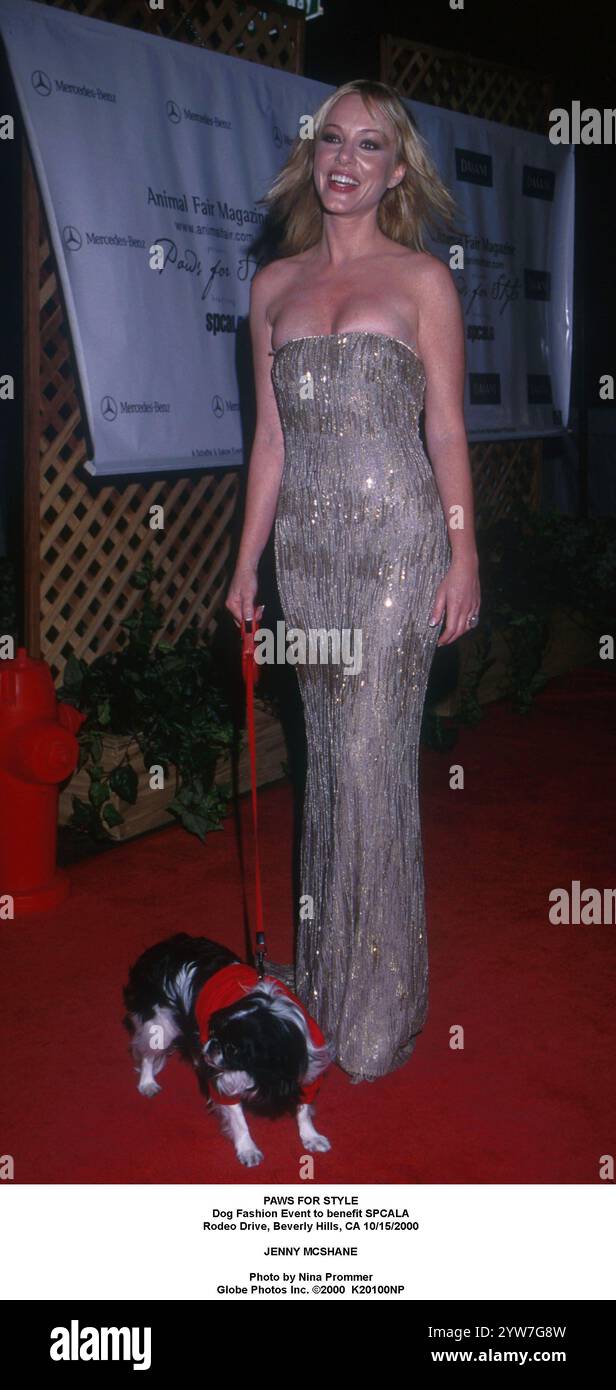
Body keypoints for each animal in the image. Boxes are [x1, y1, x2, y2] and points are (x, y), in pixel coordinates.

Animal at [123, 934, 335, 1162]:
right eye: (212, 1032)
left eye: (233, 1048)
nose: (211, 1046)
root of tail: (161, 946)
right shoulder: (223, 1081)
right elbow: (239, 1121)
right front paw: (247, 1150)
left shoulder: (307, 1071)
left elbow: (303, 1110)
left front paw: (310, 1137)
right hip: (161, 1026)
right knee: (147, 1054)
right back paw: (147, 1083)